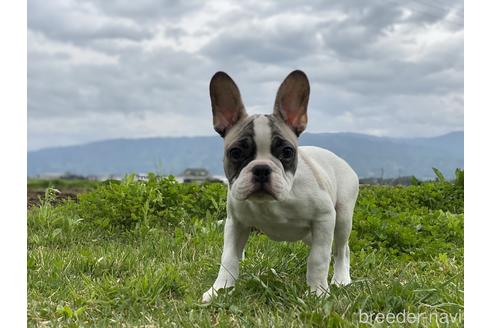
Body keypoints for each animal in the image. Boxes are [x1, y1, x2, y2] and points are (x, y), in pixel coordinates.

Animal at [202, 69, 360, 302]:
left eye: (287, 152)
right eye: (236, 153)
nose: (261, 169)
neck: (271, 203)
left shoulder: (324, 218)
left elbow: (318, 259)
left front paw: (317, 292)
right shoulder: (236, 223)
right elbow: (228, 258)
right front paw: (219, 290)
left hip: (342, 217)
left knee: (341, 249)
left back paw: (341, 279)